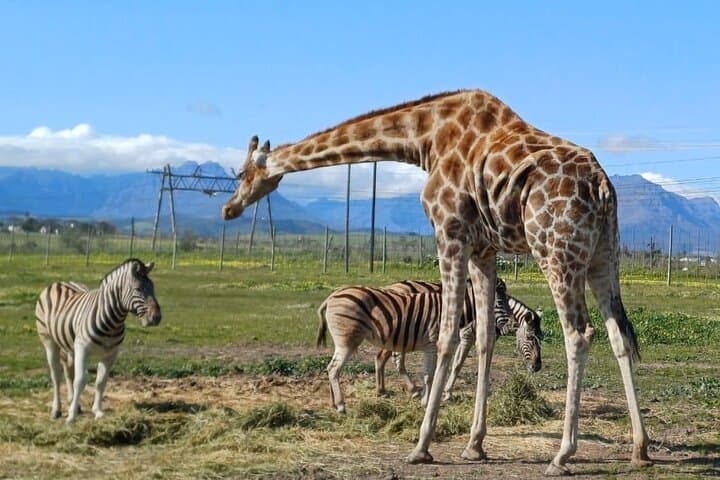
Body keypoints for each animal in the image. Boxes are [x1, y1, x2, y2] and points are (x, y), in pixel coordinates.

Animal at [222, 90, 651, 475]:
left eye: (241, 173)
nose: (228, 208)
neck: (424, 139)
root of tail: (603, 186)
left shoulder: (450, 232)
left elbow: (445, 336)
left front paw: (421, 445)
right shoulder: (483, 249)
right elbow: (484, 338)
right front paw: (474, 444)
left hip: (555, 251)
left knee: (579, 334)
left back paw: (562, 455)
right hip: (603, 255)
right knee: (618, 335)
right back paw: (640, 448)